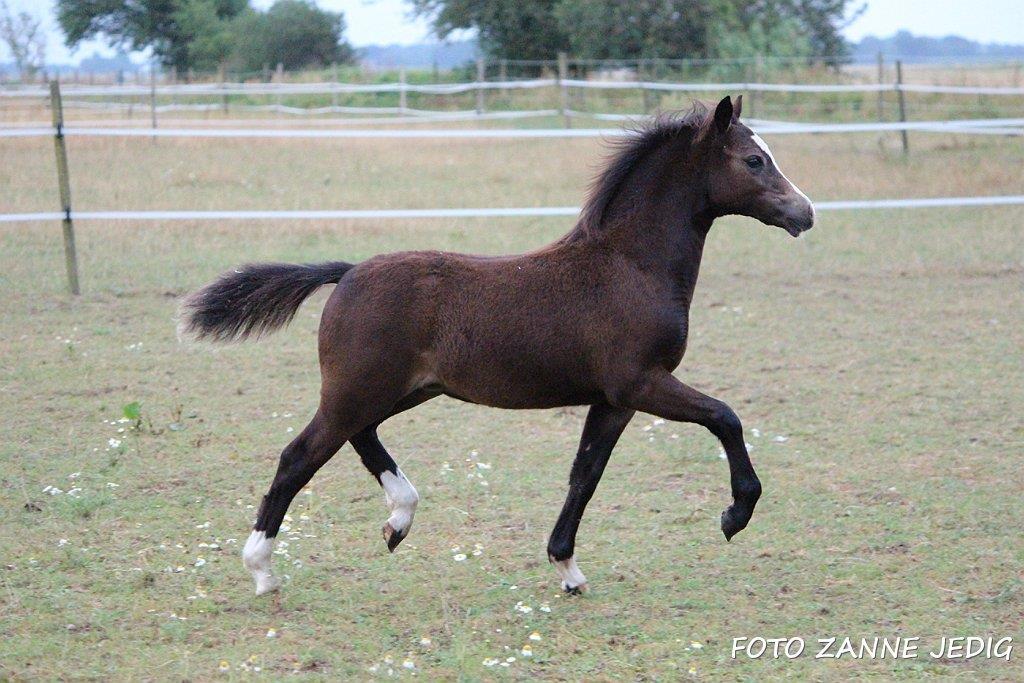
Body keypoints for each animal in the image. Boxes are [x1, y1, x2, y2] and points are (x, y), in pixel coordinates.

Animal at [179, 96, 815, 596]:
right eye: (754, 160)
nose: (805, 213)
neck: (630, 265)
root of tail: (347, 272)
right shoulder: (641, 381)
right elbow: (725, 417)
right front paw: (735, 513)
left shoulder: (613, 399)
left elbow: (585, 474)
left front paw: (567, 568)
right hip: (359, 388)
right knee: (299, 456)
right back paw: (263, 569)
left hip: (399, 390)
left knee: (359, 437)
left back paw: (398, 519)